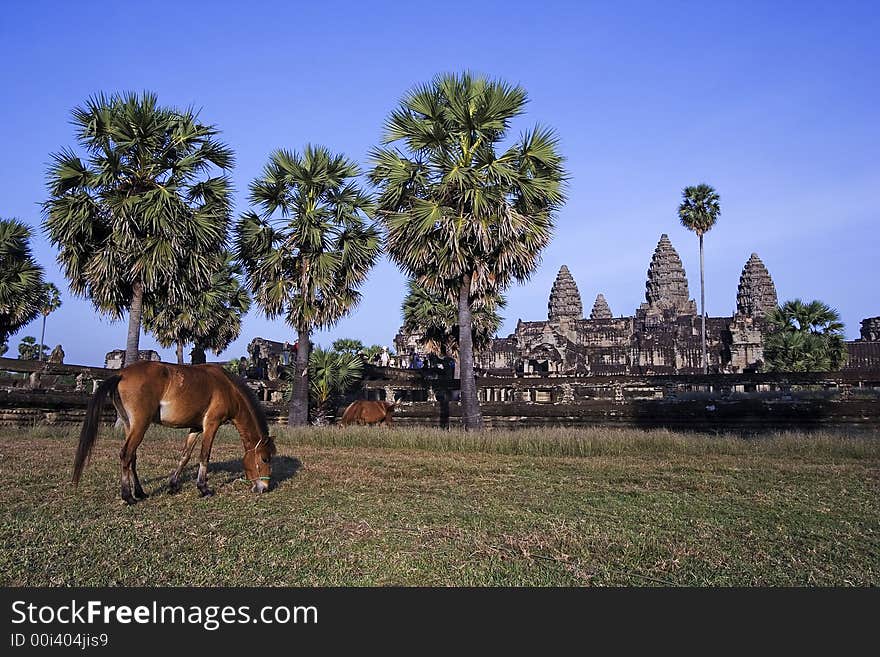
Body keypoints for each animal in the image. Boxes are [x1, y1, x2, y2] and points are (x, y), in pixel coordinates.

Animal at [74, 362, 276, 504]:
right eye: (265, 459)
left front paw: (173, 485)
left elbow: (185, 456)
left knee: (132, 457)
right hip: (140, 425)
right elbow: (204, 455)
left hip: (129, 425)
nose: (264, 488)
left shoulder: (196, 428)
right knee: (126, 454)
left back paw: (139, 492)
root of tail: (122, 374)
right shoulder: (211, 424)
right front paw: (203, 488)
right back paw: (128, 496)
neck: (228, 388)